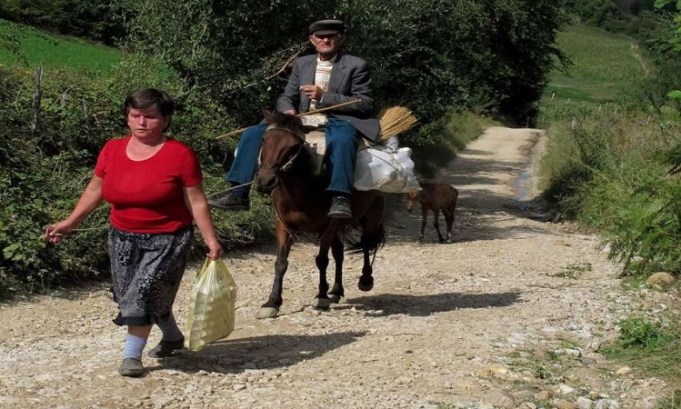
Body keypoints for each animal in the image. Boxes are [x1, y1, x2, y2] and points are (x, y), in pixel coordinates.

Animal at [254, 112, 386, 318]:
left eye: (294, 146)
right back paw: (337, 291)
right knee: (339, 253)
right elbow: (281, 263)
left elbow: (322, 260)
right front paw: (272, 302)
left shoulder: (326, 227)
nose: (266, 181)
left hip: (371, 214)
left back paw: (365, 280)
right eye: (264, 139)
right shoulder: (283, 226)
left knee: (366, 243)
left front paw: (321, 297)